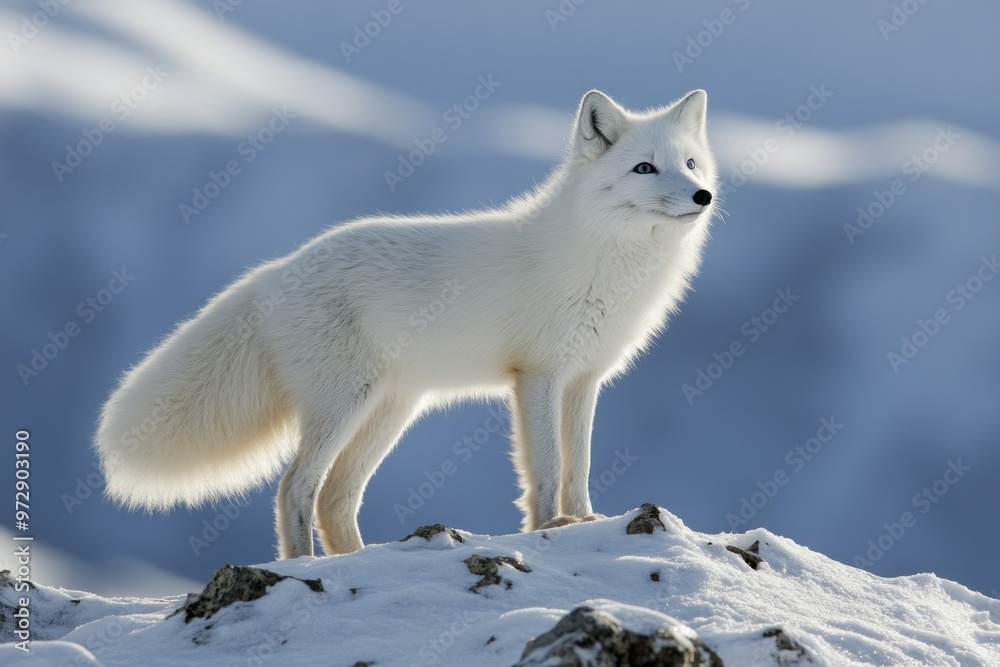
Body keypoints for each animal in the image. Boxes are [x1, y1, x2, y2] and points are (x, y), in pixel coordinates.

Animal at [96, 89, 718, 559]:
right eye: (644, 168)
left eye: (689, 163)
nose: (702, 195)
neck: (602, 259)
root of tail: (275, 271)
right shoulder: (538, 374)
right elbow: (544, 467)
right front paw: (549, 529)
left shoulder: (585, 378)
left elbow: (578, 466)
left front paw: (585, 520)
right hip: (342, 404)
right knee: (295, 488)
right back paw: (302, 567)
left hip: (390, 411)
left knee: (334, 498)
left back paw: (357, 561)